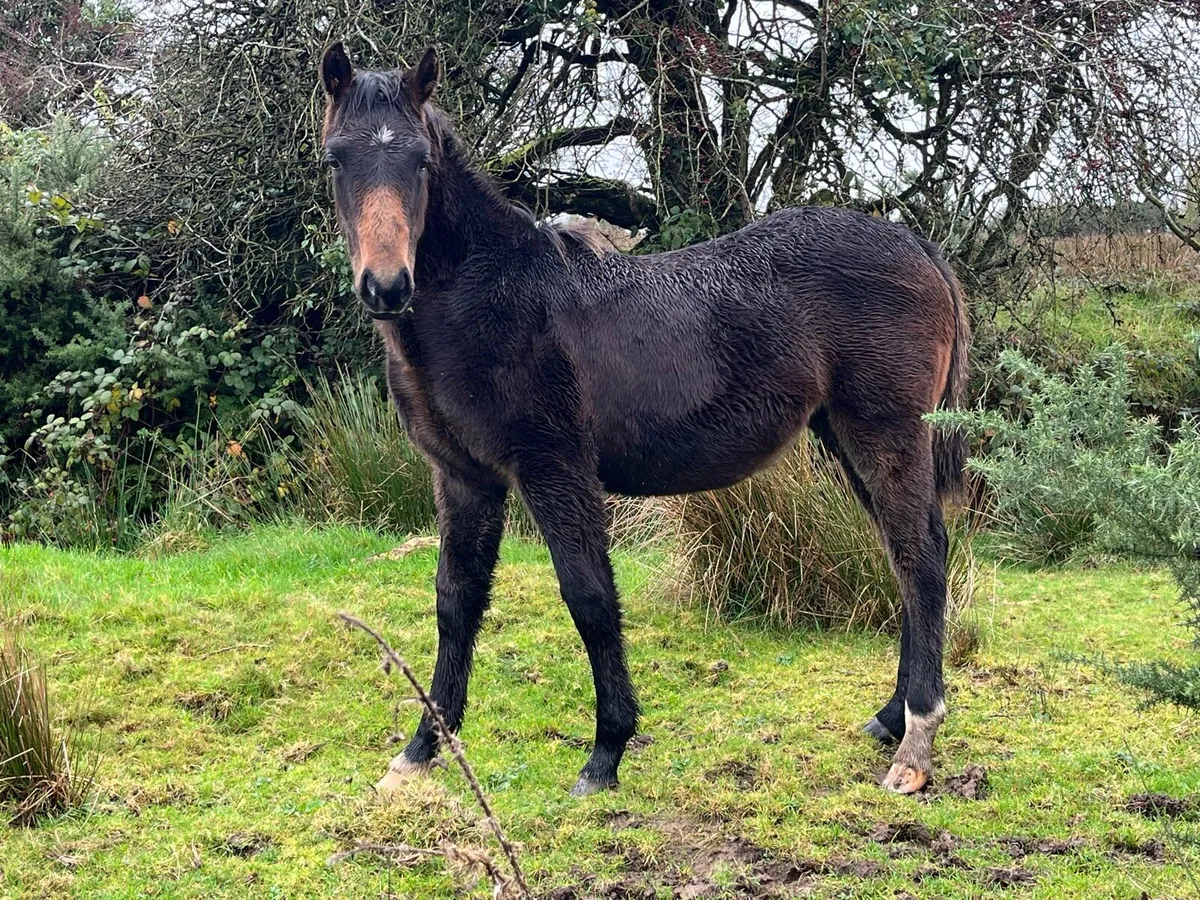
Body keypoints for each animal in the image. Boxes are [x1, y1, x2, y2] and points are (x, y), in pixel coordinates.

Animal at [318, 42, 970, 798]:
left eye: (421, 161)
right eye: (336, 159)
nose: (387, 286)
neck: (493, 297)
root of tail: (918, 248)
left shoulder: (554, 467)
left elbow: (590, 598)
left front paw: (606, 751)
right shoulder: (463, 477)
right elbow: (456, 602)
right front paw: (422, 749)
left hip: (885, 431)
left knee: (920, 558)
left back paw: (915, 744)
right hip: (844, 436)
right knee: (906, 554)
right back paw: (890, 719)